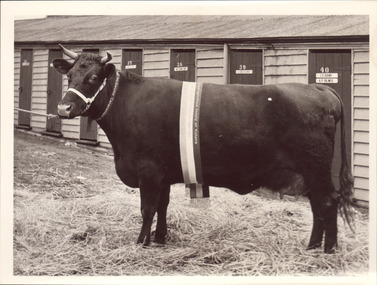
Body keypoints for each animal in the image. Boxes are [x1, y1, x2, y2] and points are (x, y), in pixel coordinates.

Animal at [53, 45, 352, 253]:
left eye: (93, 77)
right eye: (69, 75)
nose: (63, 108)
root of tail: (320, 88)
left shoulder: (148, 170)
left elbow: (147, 208)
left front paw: (141, 242)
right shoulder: (164, 172)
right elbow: (162, 205)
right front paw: (160, 238)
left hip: (316, 168)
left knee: (327, 202)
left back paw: (327, 251)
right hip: (310, 173)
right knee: (318, 205)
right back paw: (312, 247)